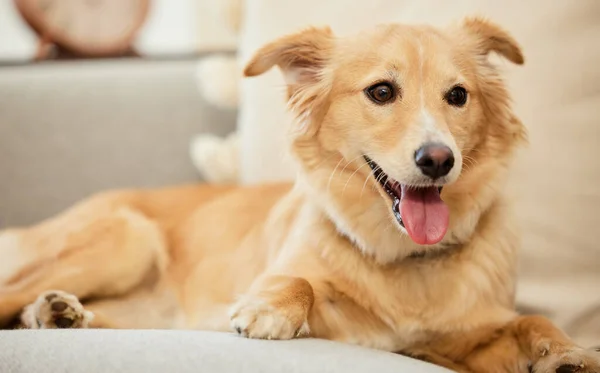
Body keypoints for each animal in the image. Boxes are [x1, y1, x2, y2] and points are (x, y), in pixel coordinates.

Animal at [1, 17, 600, 372]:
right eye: (382, 91)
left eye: (458, 96)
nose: (438, 160)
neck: (402, 257)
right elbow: (301, 282)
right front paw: (271, 309)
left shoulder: (460, 338)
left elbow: (530, 322)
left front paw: (569, 352)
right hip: (128, 239)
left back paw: (58, 315)